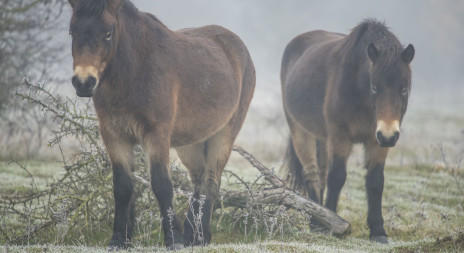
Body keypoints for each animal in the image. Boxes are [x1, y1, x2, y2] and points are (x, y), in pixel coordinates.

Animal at [67, 0, 256, 249]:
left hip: (225, 133)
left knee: (211, 179)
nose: (83, 83)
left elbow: (161, 183)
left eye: (108, 33)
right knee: (198, 179)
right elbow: (122, 185)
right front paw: (119, 239)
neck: (135, 71)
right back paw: (191, 235)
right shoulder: (113, 135)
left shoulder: (156, 134)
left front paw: (173, 239)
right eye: (72, 32)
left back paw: (200, 237)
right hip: (190, 142)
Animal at [280, 18, 416, 242]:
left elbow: (375, 181)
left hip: (323, 138)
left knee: (321, 174)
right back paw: (316, 221)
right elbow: (337, 177)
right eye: (374, 87)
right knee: (312, 173)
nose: (388, 135)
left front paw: (378, 231)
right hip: (300, 131)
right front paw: (334, 223)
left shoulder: (376, 141)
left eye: (404, 89)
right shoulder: (340, 136)